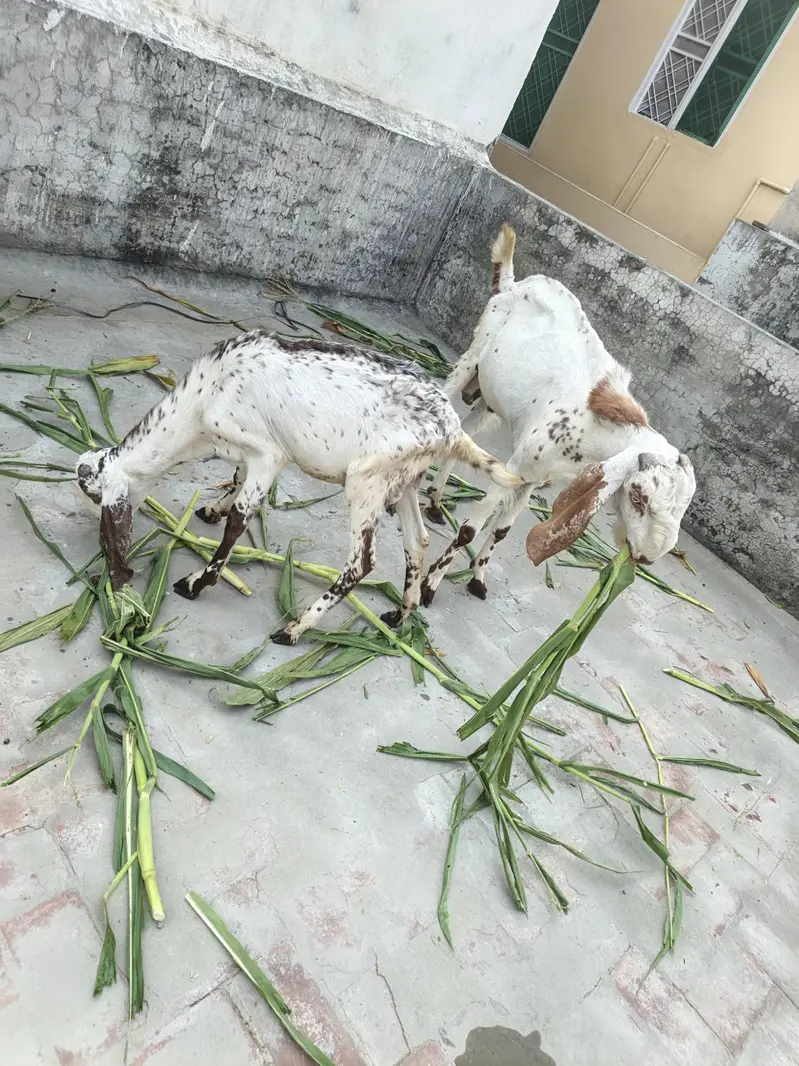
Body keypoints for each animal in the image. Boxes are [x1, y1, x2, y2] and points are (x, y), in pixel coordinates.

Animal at [75, 329, 520, 644]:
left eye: (95, 495)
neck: (205, 398)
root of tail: (451, 428)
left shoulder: (269, 454)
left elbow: (239, 521)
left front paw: (197, 582)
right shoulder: (245, 453)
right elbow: (235, 482)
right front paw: (212, 509)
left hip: (366, 482)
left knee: (362, 562)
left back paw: (294, 629)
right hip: (405, 481)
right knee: (419, 541)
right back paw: (400, 613)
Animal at [420, 224, 696, 605]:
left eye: (682, 509)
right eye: (638, 496)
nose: (646, 557)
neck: (591, 426)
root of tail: (514, 283)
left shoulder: (533, 477)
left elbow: (502, 531)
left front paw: (477, 578)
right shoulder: (517, 468)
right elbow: (469, 531)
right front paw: (429, 586)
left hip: (488, 398)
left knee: (467, 431)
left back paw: (435, 500)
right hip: (470, 359)